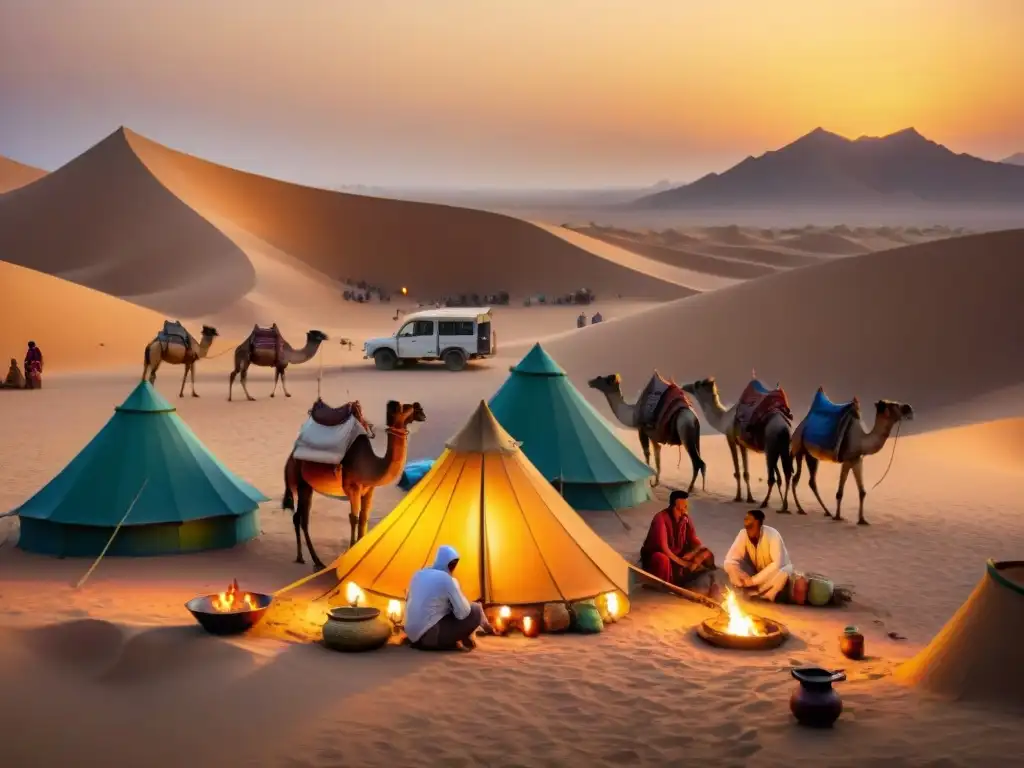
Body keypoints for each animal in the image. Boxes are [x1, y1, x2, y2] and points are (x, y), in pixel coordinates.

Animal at [282, 403, 425, 573]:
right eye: (406, 407)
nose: (421, 411)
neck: (371, 464)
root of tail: (290, 459)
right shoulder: (353, 488)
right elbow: (354, 518)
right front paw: (349, 555)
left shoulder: (369, 490)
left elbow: (364, 518)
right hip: (301, 482)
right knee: (303, 519)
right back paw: (317, 561)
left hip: (307, 485)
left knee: (298, 516)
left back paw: (301, 557)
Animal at [684, 376, 794, 514]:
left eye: (697, 385)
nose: (685, 387)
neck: (723, 419)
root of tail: (784, 427)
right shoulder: (742, 444)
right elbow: (746, 473)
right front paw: (749, 498)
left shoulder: (730, 438)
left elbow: (737, 471)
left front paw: (737, 497)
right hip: (783, 447)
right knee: (787, 474)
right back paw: (784, 506)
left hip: (771, 445)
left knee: (773, 477)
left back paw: (765, 503)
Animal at [786, 393, 917, 528]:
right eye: (893, 405)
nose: (909, 408)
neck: (860, 440)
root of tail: (800, 426)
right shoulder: (847, 461)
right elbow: (840, 492)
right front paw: (838, 517)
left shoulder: (857, 460)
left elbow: (862, 491)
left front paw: (862, 520)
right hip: (798, 448)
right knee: (795, 478)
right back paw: (800, 509)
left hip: (811, 455)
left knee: (810, 481)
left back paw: (826, 511)